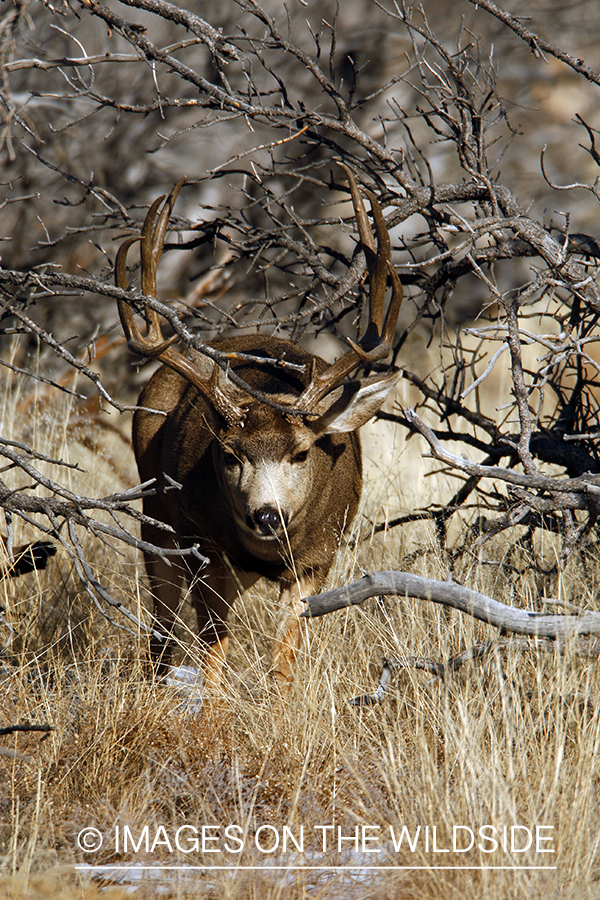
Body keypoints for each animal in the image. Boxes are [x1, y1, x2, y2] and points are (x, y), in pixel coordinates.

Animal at [115, 168, 403, 697]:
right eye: (229, 455)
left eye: (302, 453)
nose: (266, 515)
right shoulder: (206, 548)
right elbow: (213, 656)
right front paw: (211, 710)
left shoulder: (316, 559)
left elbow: (283, 662)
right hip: (156, 519)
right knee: (161, 631)